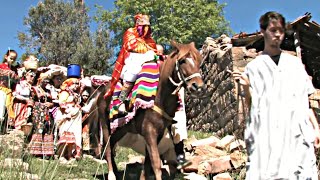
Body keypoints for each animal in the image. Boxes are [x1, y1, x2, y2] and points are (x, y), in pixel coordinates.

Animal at [100, 41, 204, 180]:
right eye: (182, 61)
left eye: (198, 61)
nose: (198, 86)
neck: (159, 96)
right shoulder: (150, 132)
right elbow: (156, 164)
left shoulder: (157, 134)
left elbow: (148, 163)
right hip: (106, 125)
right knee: (107, 148)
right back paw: (112, 174)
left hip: (120, 128)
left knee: (111, 145)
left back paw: (116, 171)